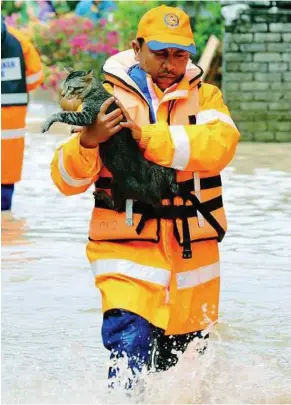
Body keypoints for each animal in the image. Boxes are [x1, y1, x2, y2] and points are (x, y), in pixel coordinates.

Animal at [40, 68, 178, 210]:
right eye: (64, 86)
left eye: (70, 88)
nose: (62, 94)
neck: (95, 91)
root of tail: (155, 195)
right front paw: (76, 129)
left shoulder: (86, 115)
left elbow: (63, 114)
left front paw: (48, 121)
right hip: (161, 168)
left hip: (116, 185)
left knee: (117, 207)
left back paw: (104, 196)